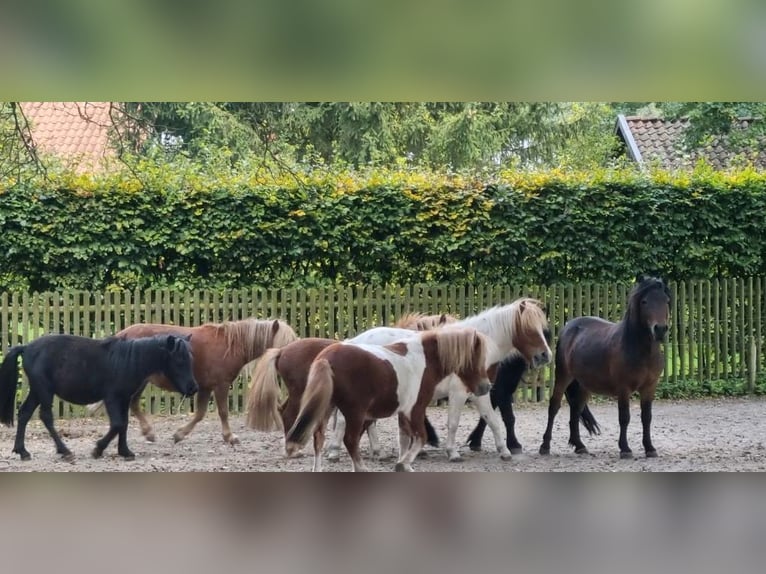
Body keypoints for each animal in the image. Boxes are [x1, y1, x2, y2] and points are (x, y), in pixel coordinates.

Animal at [0, 332, 198, 464]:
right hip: (44, 390)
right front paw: (98, 449)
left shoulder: (124, 399)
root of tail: (26, 347)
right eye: (179, 360)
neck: (128, 361)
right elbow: (117, 424)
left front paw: (125, 451)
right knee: (46, 417)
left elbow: (124, 424)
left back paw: (22, 451)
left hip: (36, 391)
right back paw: (64, 451)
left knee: (24, 414)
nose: (193, 388)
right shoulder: (112, 398)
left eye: (190, 358)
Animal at [88, 320, 296, 446]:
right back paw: (148, 433)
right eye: (284, 342)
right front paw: (230, 437)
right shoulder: (220, 386)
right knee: (133, 404)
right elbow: (223, 412)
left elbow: (200, 414)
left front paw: (179, 434)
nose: (289, 358)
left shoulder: (205, 387)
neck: (230, 346)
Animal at [284, 328, 492, 472]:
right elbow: (421, 437)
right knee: (350, 440)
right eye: (476, 358)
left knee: (319, 438)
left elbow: (405, 439)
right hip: (355, 412)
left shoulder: (404, 412)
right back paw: (361, 469)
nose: (486, 387)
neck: (425, 360)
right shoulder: (415, 409)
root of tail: (327, 357)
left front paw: (404, 464)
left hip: (327, 407)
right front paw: (403, 464)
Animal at [540, 276, 672, 462]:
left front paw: (650, 448)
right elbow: (624, 417)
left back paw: (579, 446)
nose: (659, 329)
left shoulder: (650, 387)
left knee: (576, 410)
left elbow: (647, 418)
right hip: (563, 377)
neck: (640, 349)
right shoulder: (623, 388)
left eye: (666, 301)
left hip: (584, 385)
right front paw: (625, 449)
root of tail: (568, 326)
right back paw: (545, 446)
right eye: (644, 301)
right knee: (554, 407)